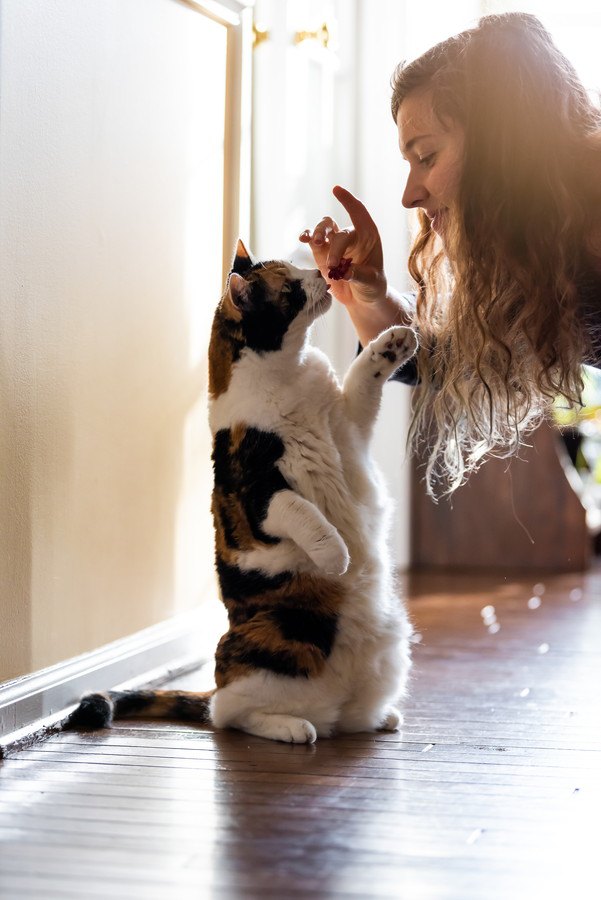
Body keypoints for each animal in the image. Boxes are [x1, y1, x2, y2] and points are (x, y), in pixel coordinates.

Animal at [67, 241, 418, 744]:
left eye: (301, 269)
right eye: (290, 287)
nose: (323, 276)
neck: (290, 375)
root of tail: (335, 707)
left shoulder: (350, 426)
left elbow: (361, 376)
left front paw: (394, 341)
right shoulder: (255, 493)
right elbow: (302, 511)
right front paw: (336, 555)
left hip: (388, 653)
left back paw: (375, 717)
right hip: (268, 643)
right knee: (229, 713)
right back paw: (292, 727)